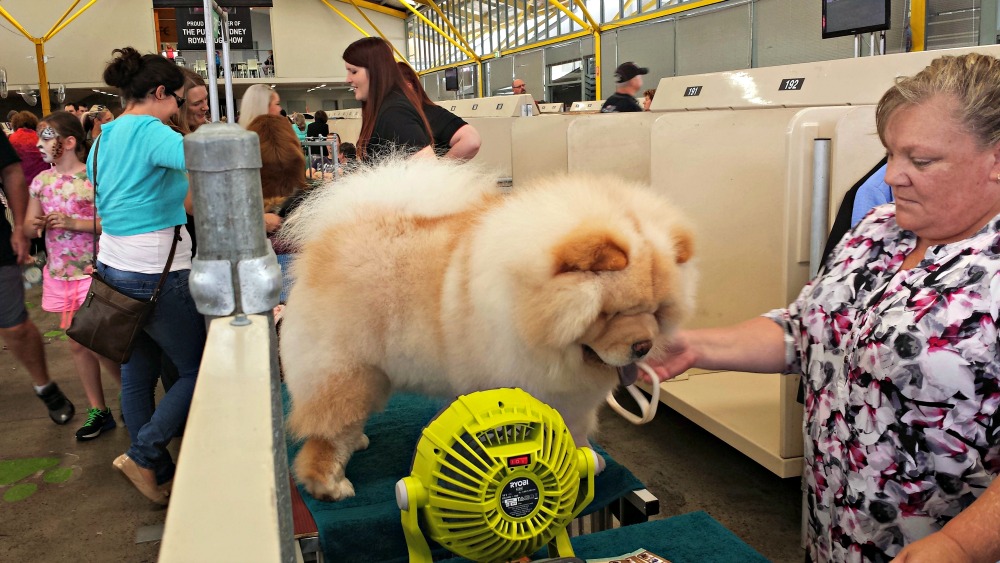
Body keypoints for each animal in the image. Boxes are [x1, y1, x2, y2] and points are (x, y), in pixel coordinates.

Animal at [278, 159, 692, 502]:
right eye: (612, 313)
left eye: (656, 311)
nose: (643, 346)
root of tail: (332, 237)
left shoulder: (573, 397)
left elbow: (575, 428)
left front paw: (584, 457)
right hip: (345, 372)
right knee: (327, 434)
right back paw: (330, 486)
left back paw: (358, 441)